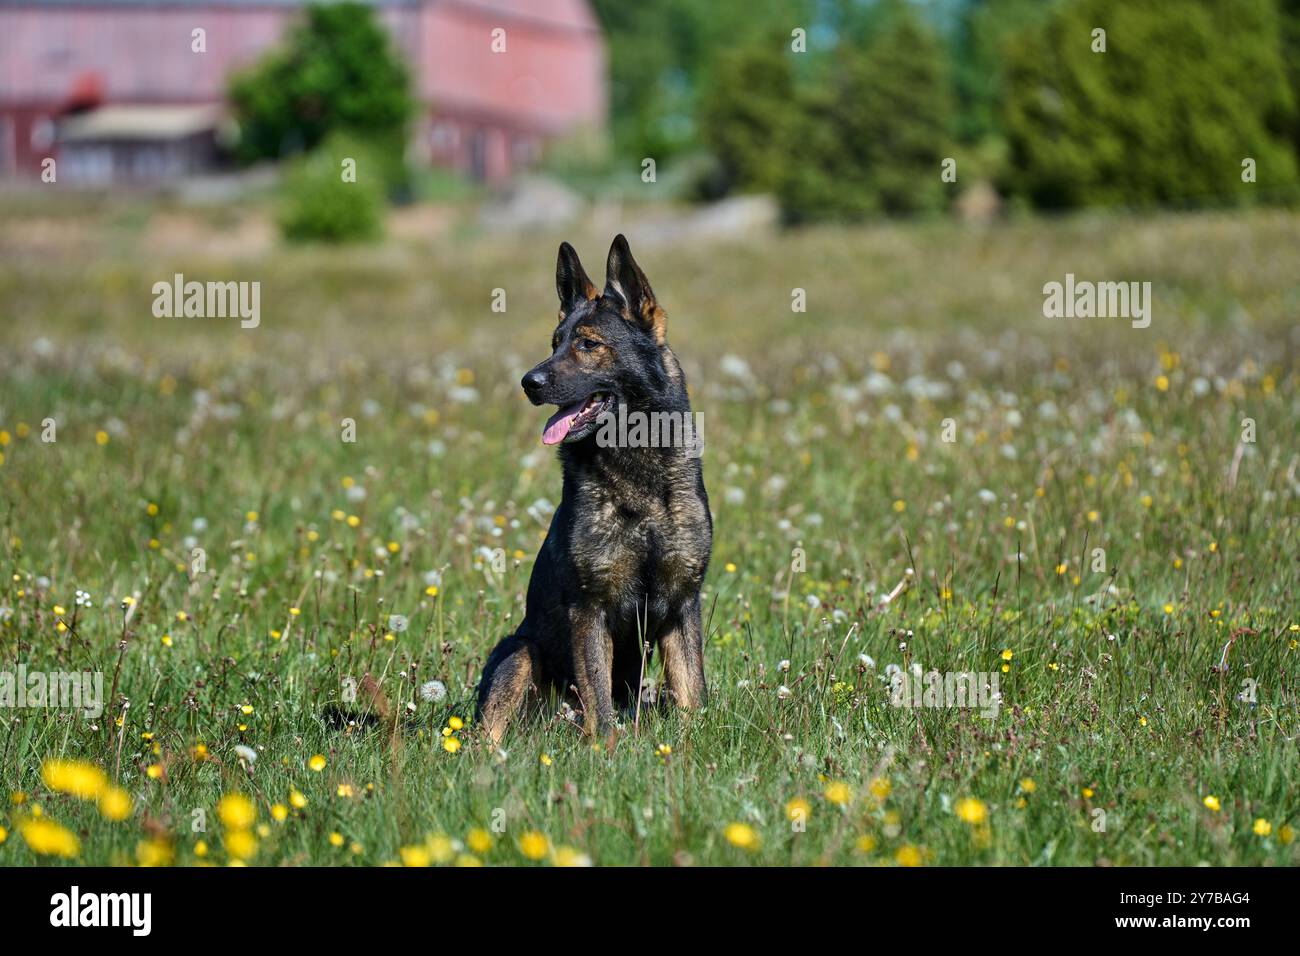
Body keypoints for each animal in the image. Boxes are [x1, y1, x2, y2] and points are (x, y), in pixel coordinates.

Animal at [475, 235, 707, 743]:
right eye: (554, 343)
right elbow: (600, 701)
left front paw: (693, 744)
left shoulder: (682, 606)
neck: (638, 474)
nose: (528, 382)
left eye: (588, 344)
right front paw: (608, 749)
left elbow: (692, 693)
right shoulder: (590, 608)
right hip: (518, 652)